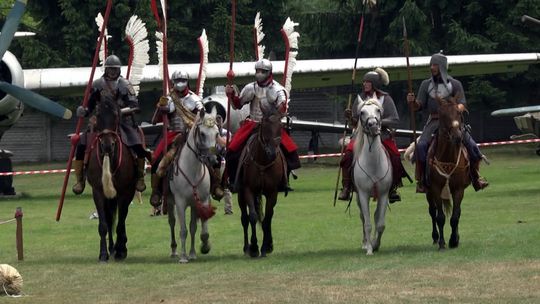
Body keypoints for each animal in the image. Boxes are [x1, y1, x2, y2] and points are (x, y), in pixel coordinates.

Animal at [86, 99, 137, 262]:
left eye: (115, 115)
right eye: (98, 115)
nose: (107, 145)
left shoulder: (125, 192)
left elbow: (121, 222)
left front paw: (121, 250)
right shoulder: (98, 192)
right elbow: (104, 224)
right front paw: (103, 253)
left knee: (121, 218)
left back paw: (119, 247)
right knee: (109, 219)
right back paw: (111, 247)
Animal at [168, 107, 220, 264]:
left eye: (217, 133)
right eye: (202, 133)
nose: (213, 160)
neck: (192, 171)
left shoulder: (202, 201)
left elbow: (199, 230)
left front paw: (203, 247)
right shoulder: (180, 203)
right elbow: (183, 230)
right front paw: (183, 257)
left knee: (192, 227)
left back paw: (192, 253)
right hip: (170, 202)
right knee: (172, 222)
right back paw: (174, 250)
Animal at [237, 110, 284, 258]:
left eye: (280, 126)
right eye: (265, 126)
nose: (272, 153)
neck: (263, 162)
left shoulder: (272, 193)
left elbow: (267, 219)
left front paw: (265, 247)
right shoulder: (248, 190)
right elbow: (252, 217)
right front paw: (254, 247)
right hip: (241, 195)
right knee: (244, 219)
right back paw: (246, 247)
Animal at [350, 94, 392, 254]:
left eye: (378, 110)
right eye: (362, 112)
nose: (373, 125)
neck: (373, 165)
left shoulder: (384, 194)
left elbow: (380, 223)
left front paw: (375, 244)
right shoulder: (363, 194)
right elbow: (367, 223)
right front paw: (369, 248)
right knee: (363, 218)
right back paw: (365, 243)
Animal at [426, 97, 468, 249]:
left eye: (459, 113)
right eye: (443, 116)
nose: (457, 137)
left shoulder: (458, 189)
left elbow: (455, 216)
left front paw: (454, 240)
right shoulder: (435, 188)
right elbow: (440, 217)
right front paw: (442, 243)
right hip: (428, 192)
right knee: (432, 211)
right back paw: (435, 237)